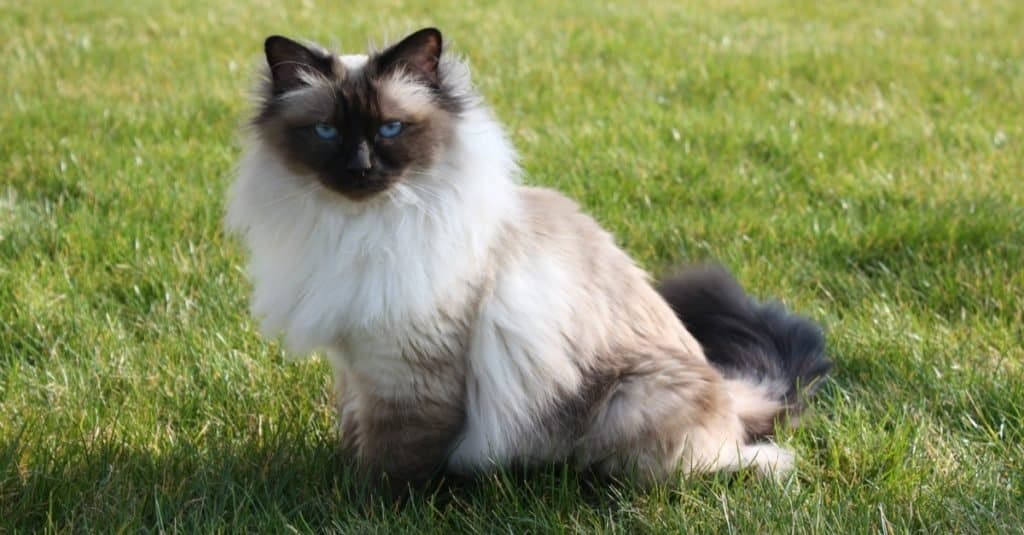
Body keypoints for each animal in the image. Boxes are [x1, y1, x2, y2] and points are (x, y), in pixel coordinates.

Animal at [226, 27, 831, 485]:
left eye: (390, 129)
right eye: (326, 131)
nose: (359, 169)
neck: (357, 228)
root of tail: (727, 390)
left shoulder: (407, 369)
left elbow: (393, 461)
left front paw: (362, 504)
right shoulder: (358, 364)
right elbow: (355, 431)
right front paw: (339, 472)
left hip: (631, 400)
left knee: (738, 460)